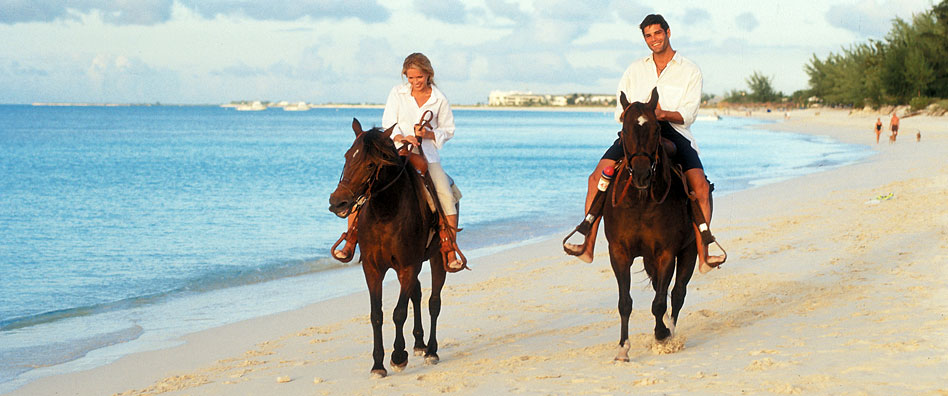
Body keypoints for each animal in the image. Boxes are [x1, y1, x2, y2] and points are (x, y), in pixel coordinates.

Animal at [328, 120, 446, 378]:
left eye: (371, 164)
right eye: (347, 156)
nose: (337, 202)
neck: (386, 214)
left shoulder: (408, 266)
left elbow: (398, 312)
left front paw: (398, 356)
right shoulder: (373, 269)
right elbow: (377, 315)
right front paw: (378, 364)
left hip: (437, 259)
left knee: (434, 301)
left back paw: (431, 350)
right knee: (417, 294)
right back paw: (420, 344)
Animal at [604, 89, 700, 362]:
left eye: (657, 129)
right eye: (624, 130)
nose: (642, 174)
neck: (641, 201)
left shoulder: (667, 253)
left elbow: (660, 302)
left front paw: (662, 335)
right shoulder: (619, 252)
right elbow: (625, 302)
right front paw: (623, 348)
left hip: (689, 252)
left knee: (677, 293)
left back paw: (671, 333)